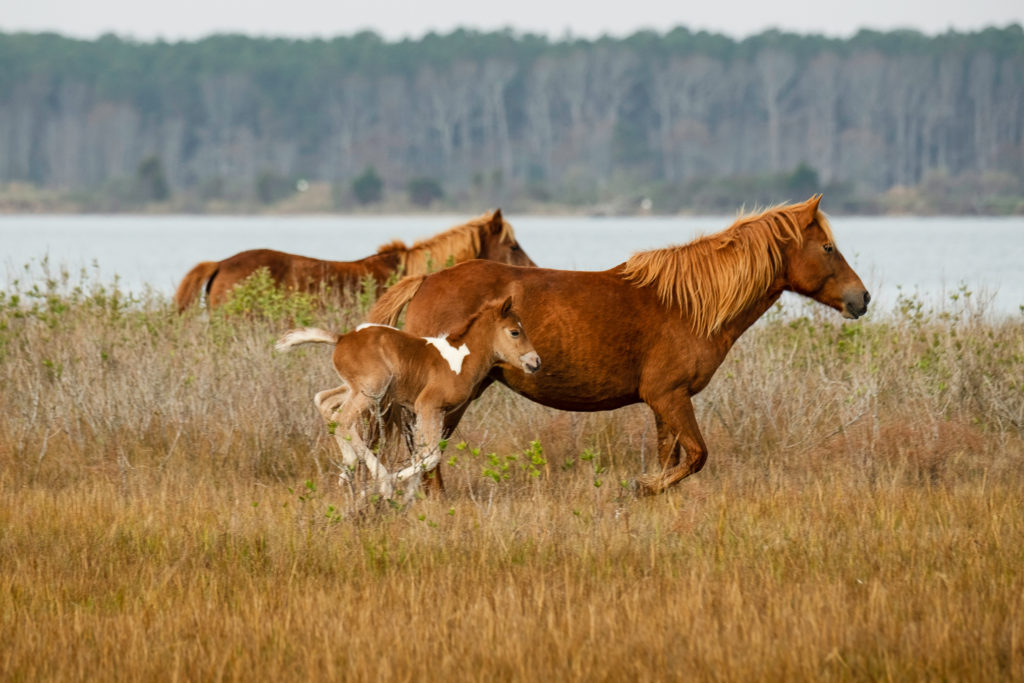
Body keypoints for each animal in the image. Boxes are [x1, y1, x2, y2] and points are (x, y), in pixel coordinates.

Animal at [275, 292, 541, 501]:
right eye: (515, 332)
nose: (535, 362)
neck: (460, 359)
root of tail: (342, 338)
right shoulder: (428, 405)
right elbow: (430, 456)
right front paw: (383, 487)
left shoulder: (433, 411)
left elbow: (424, 453)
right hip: (373, 389)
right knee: (342, 418)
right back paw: (379, 478)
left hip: (355, 388)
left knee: (324, 401)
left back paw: (348, 466)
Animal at [367, 195, 870, 495]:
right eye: (827, 247)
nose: (861, 298)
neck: (688, 304)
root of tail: (427, 279)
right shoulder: (669, 396)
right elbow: (697, 455)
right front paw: (642, 487)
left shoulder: (666, 402)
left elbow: (674, 456)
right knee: (425, 448)